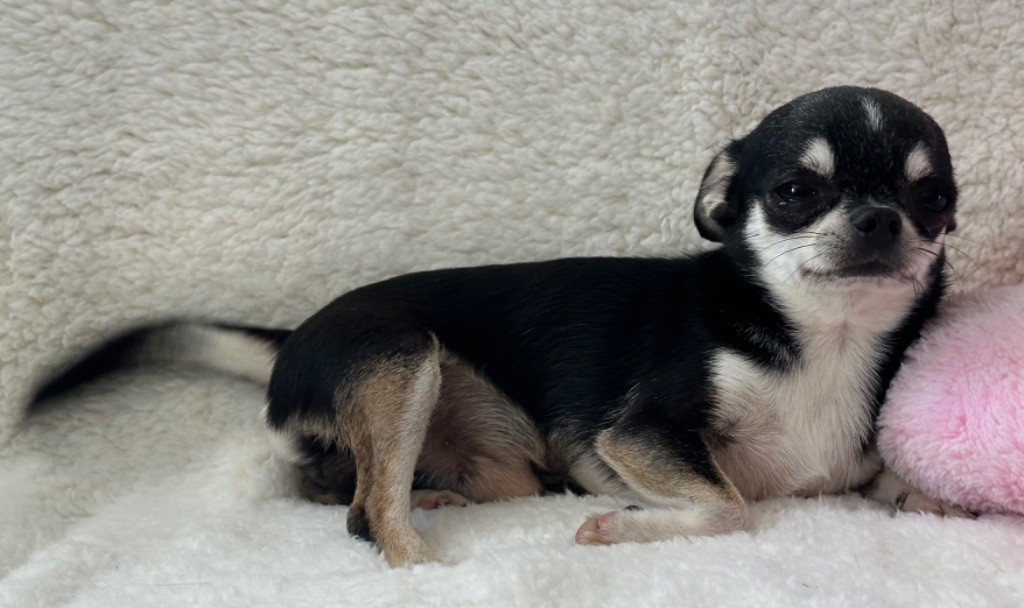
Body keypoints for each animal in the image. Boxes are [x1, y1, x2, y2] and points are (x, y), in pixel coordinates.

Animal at [31, 86, 968, 566]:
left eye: (934, 198)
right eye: (795, 192)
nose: (882, 219)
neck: (822, 342)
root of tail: (293, 333)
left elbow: (916, 496)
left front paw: (930, 495)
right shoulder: (636, 436)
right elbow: (734, 507)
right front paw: (622, 526)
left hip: (497, 454)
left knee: (347, 487)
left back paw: (431, 491)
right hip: (403, 360)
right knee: (366, 515)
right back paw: (420, 555)